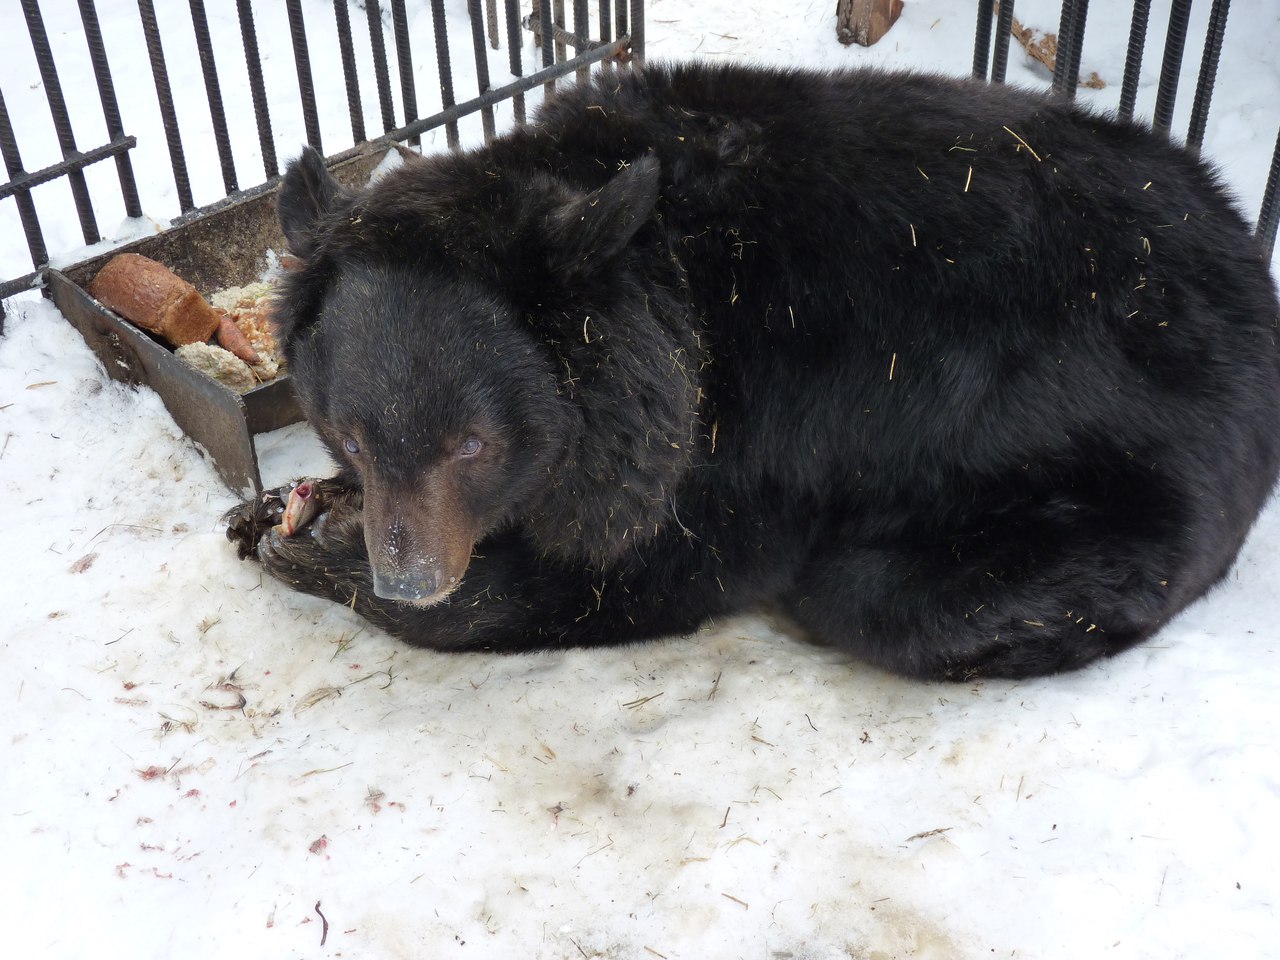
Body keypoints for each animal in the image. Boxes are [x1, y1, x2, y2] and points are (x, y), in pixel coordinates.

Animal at [225, 60, 1280, 680]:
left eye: (475, 446)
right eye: (352, 432)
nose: (409, 577)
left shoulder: (751, 435)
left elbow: (642, 571)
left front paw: (337, 564)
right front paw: (282, 510)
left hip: (1121, 481)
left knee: (889, 594)